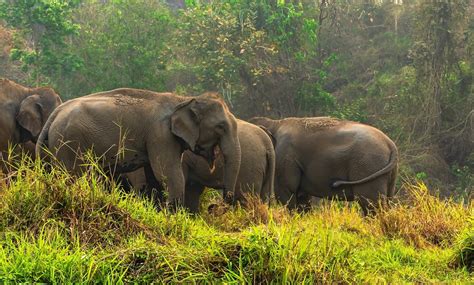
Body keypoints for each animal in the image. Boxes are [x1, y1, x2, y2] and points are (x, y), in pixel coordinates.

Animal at [36, 89, 241, 206]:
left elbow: (155, 177)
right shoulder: (160, 135)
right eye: (221, 127)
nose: (223, 202)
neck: (183, 100)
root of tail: (54, 115)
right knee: (73, 177)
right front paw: (173, 215)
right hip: (70, 143)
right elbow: (169, 174)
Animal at [248, 115, 400, 213]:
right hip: (387, 172)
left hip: (367, 165)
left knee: (371, 204)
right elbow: (302, 198)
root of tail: (390, 144)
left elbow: (287, 192)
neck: (275, 123)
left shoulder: (285, 157)